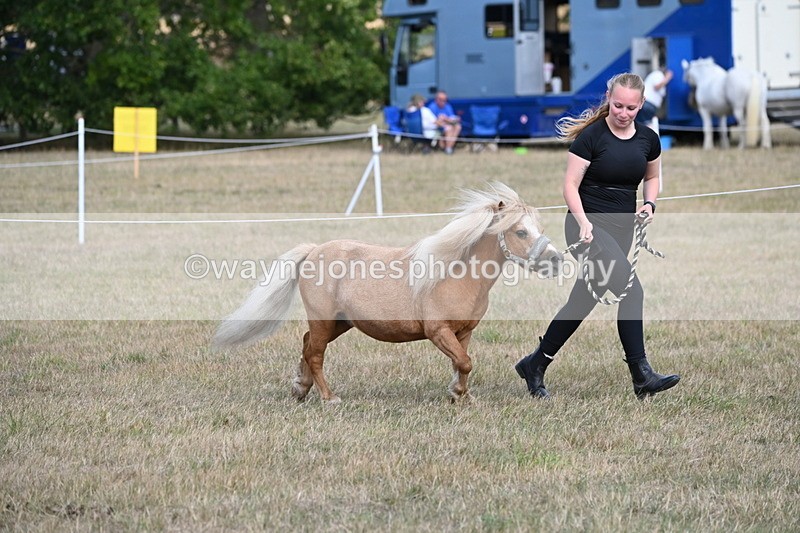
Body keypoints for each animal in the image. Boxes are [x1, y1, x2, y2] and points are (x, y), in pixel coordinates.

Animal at [213, 182, 563, 404]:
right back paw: (329, 397)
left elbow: (462, 363)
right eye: (520, 231)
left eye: (540, 229)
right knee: (315, 353)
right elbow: (464, 363)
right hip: (324, 320)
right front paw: (457, 394)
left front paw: (461, 396)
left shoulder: (463, 332)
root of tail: (313, 251)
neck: (457, 274)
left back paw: (300, 389)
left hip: (340, 323)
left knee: (306, 343)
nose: (555, 260)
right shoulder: (438, 331)